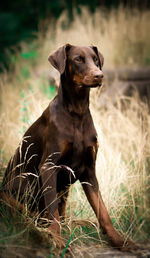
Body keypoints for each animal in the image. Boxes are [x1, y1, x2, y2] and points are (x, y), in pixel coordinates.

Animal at [1, 44, 134, 250]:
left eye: (96, 59)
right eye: (78, 59)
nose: (99, 75)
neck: (77, 112)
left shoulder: (89, 171)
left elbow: (102, 211)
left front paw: (119, 240)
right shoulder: (48, 167)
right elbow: (52, 210)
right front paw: (57, 240)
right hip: (26, 181)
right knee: (30, 213)